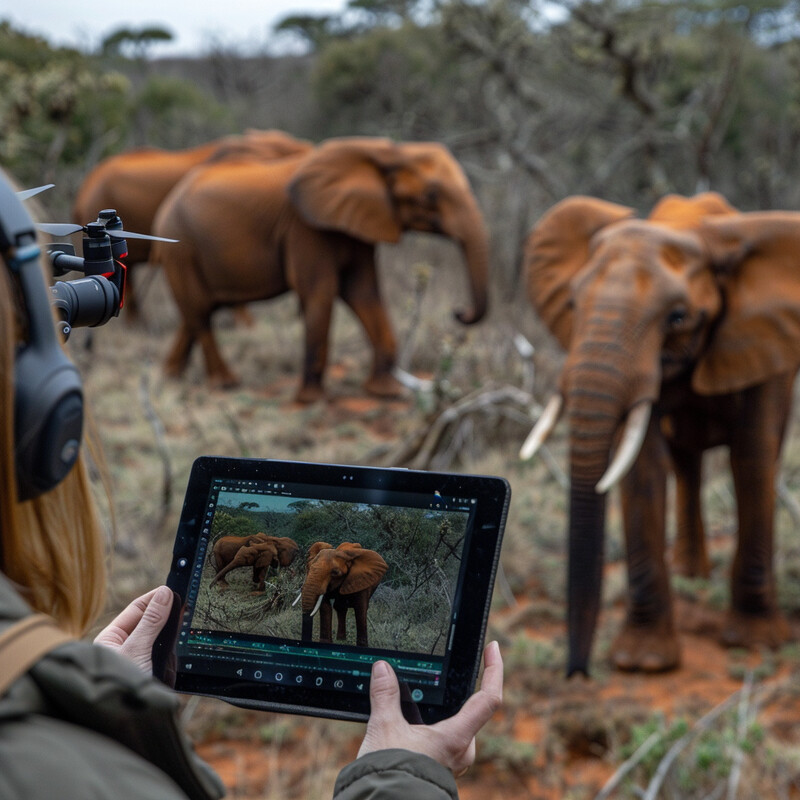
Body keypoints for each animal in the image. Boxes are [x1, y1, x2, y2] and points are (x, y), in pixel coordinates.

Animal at [149, 136, 488, 406]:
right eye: (431, 195)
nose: (459, 312)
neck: (383, 152)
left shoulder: (356, 223)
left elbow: (363, 292)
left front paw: (385, 393)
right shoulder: (305, 228)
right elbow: (320, 293)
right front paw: (311, 400)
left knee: (200, 310)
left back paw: (171, 377)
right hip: (180, 248)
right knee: (200, 312)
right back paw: (226, 384)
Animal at [520, 192, 800, 676]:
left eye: (678, 317)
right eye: (572, 305)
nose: (578, 672)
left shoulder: (762, 343)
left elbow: (752, 457)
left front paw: (755, 642)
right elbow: (642, 469)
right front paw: (643, 662)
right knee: (685, 462)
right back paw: (690, 573)